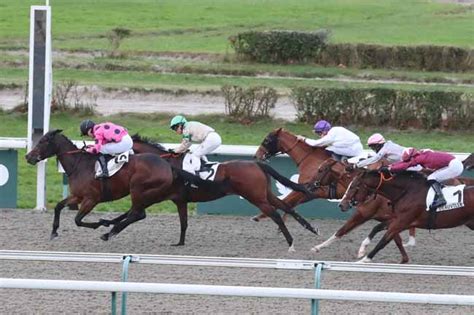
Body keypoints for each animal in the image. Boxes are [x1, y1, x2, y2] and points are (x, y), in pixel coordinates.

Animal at [25, 130, 226, 243]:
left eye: (43, 141)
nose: (28, 157)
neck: (79, 164)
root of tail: (168, 166)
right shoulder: (78, 196)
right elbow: (59, 207)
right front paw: (54, 232)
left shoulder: (91, 199)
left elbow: (78, 220)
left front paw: (100, 224)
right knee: (136, 213)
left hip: (139, 189)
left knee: (138, 213)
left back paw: (109, 232)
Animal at [131, 134, 318, 252]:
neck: (166, 164)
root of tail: (257, 164)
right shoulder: (181, 200)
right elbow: (183, 223)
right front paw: (180, 243)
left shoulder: (161, 195)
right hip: (265, 194)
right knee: (286, 206)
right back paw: (312, 229)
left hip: (256, 197)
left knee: (275, 214)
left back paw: (291, 242)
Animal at [338, 170, 472, 264]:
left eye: (353, 187)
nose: (341, 204)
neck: (407, 192)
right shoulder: (401, 220)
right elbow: (377, 228)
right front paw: (362, 250)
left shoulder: (402, 221)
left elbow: (383, 241)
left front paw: (364, 260)